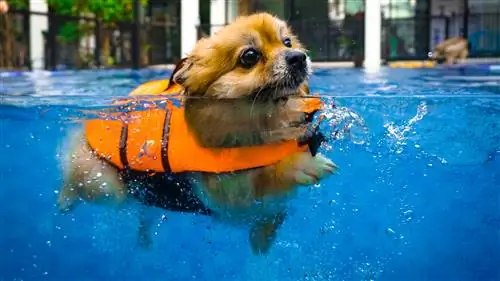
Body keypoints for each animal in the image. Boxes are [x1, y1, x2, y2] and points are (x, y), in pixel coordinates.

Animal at [58, 12, 338, 254]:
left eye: (287, 42)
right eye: (249, 56)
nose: (298, 57)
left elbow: (273, 212)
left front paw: (262, 238)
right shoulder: (231, 196)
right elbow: (265, 175)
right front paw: (302, 163)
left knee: (145, 212)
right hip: (104, 184)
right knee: (78, 184)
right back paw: (64, 200)